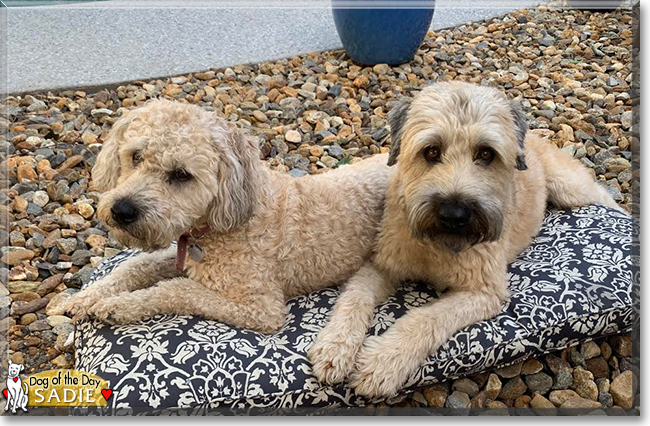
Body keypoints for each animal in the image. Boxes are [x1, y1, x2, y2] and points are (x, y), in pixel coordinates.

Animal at [64, 99, 390, 332]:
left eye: (181, 175)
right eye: (135, 156)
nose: (122, 210)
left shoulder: (261, 308)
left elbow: (177, 289)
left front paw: (118, 305)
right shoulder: (185, 256)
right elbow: (136, 265)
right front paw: (88, 296)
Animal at [308, 81, 624, 398]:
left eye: (486, 153)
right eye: (431, 151)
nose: (454, 214)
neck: (437, 245)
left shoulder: (483, 292)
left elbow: (427, 317)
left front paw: (384, 361)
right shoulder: (382, 264)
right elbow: (355, 296)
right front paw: (335, 346)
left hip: (572, 189)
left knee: (605, 197)